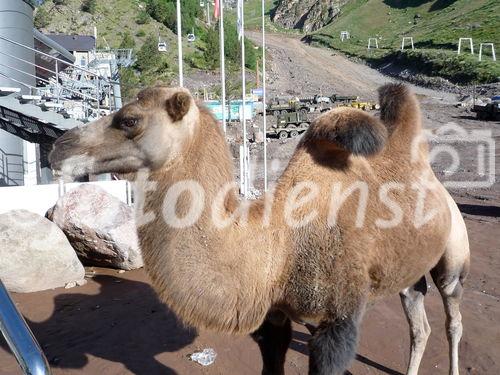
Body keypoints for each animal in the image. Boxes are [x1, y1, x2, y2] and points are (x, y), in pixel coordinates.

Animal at [49, 83, 468, 375]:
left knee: (452, 318)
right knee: (419, 323)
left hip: (453, 257)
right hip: (406, 272)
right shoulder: (274, 318)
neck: (278, 247)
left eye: (130, 120)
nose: (58, 147)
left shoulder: (336, 324)